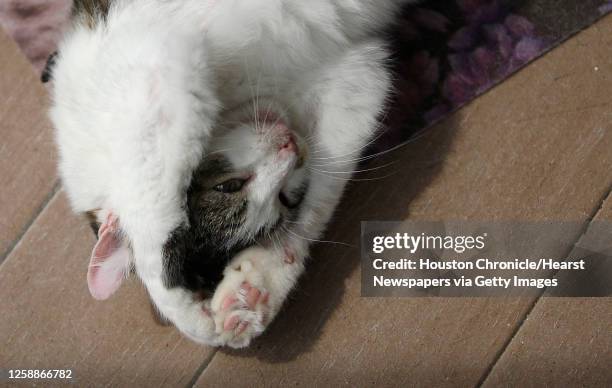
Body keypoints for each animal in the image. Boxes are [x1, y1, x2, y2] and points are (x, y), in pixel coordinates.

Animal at [49, 0, 412, 348]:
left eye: (228, 186)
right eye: (284, 198)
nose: (291, 146)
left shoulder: (154, 70)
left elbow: (148, 216)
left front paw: (182, 312)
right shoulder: (356, 77)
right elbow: (320, 197)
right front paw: (260, 283)